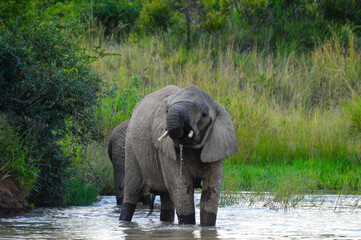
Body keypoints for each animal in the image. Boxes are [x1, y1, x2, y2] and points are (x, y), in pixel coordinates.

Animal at [119, 85, 238, 226]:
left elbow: (212, 187)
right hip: (131, 144)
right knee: (132, 190)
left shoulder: (215, 143)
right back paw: (124, 220)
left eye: (204, 114)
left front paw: (207, 227)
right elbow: (181, 186)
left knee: (166, 198)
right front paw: (188, 226)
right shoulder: (166, 150)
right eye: (167, 110)